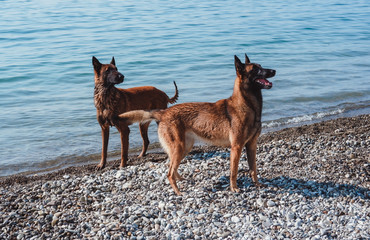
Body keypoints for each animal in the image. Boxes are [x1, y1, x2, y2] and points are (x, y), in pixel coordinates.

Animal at [118, 53, 274, 194]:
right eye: (255, 69)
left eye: (260, 66)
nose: (274, 71)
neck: (248, 105)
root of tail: (164, 112)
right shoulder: (236, 147)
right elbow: (234, 171)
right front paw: (234, 188)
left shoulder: (252, 145)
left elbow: (253, 168)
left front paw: (257, 184)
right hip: (179, 148)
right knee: (169, 172)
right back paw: (178, 192)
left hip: (184, 148)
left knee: (172, 167)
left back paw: (181, 180)